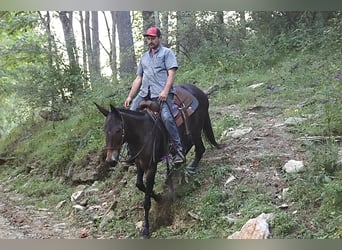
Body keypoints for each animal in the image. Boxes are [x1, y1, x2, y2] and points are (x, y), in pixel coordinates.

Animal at [94, 83, 222, 238]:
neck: (142, 133)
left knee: (200, 149)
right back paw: (173, 172)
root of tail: (199, 91)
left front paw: (146, 229)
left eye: (118, 130)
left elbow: (146, 201)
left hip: (196, 131)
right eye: (104, 130)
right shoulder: (139, 163)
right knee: (186, 150)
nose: (110, 160)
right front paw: (159, 197)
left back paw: (189, 169)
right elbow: (139, 184)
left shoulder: (151, 167)